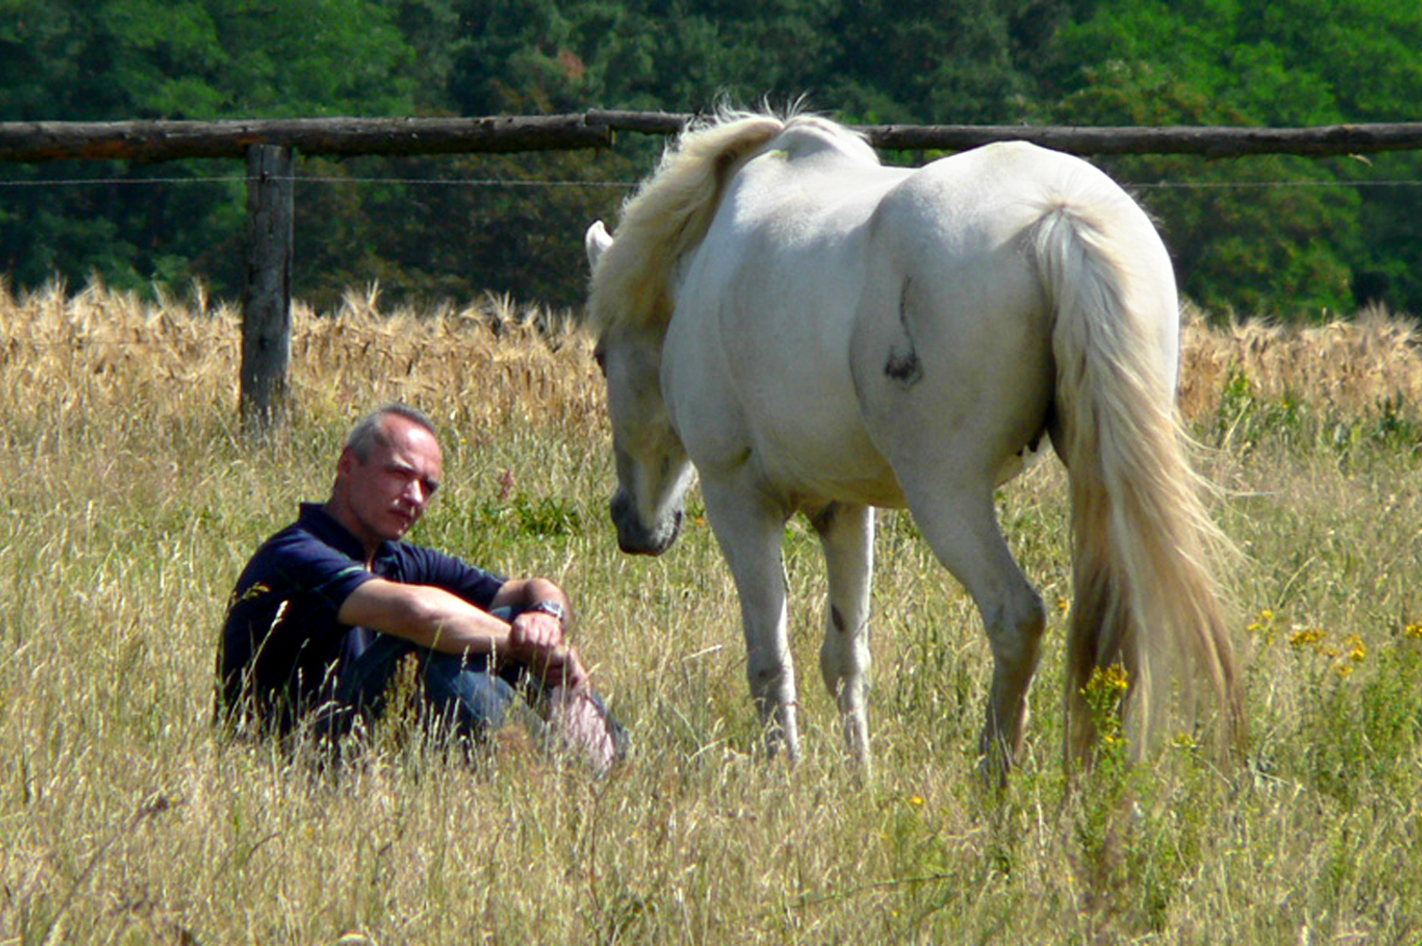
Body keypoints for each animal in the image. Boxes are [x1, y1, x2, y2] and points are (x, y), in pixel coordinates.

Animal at [583, 112, 1239, 773]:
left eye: (600, 357)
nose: (632, 526)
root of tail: (1058, 215)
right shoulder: (845, 509)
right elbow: (845, 658)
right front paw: (859, 776)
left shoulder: (738, 501)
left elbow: (770, 660)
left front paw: (785, 772)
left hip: (946, 496)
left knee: (1016, 616)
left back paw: (995, 774)